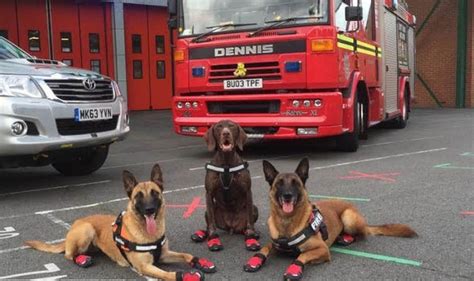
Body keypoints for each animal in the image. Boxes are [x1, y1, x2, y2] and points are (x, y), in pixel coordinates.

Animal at [25, 163, 217, 280]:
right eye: (138, 196)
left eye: (155, 193)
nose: (149, 210)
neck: (148, 234)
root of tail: (75, 225)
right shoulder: (145, 266)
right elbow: (168, 274)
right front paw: (186, 275)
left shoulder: (163, 255)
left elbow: (186, 255)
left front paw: (201, 262)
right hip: (87, 229)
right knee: (69, 255)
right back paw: (81, 259)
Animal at [191, 119, 262, 250]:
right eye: (219, 127)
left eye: (231, 126)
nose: (226, 133)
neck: (226, 163)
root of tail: (231, 227)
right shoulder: (209, 193)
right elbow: (211, 223)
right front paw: (213, 238)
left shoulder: (247, 191)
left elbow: (250, 220)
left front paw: (251, 237)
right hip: (208, 210)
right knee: (209, 224)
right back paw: (201, 234)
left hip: (254, 209)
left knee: (246, 224)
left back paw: (252, 233)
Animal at [244, 159, 414, 278]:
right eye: (279, 183)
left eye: (295, 183)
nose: (287, 196)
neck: (287, 222)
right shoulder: (275, 244)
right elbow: (264, 248)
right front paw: (255, 261)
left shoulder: (322, 249)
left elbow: (302, 255)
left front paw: (294, 269)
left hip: (348, 217)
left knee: (361, 234)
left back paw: (345, 238)